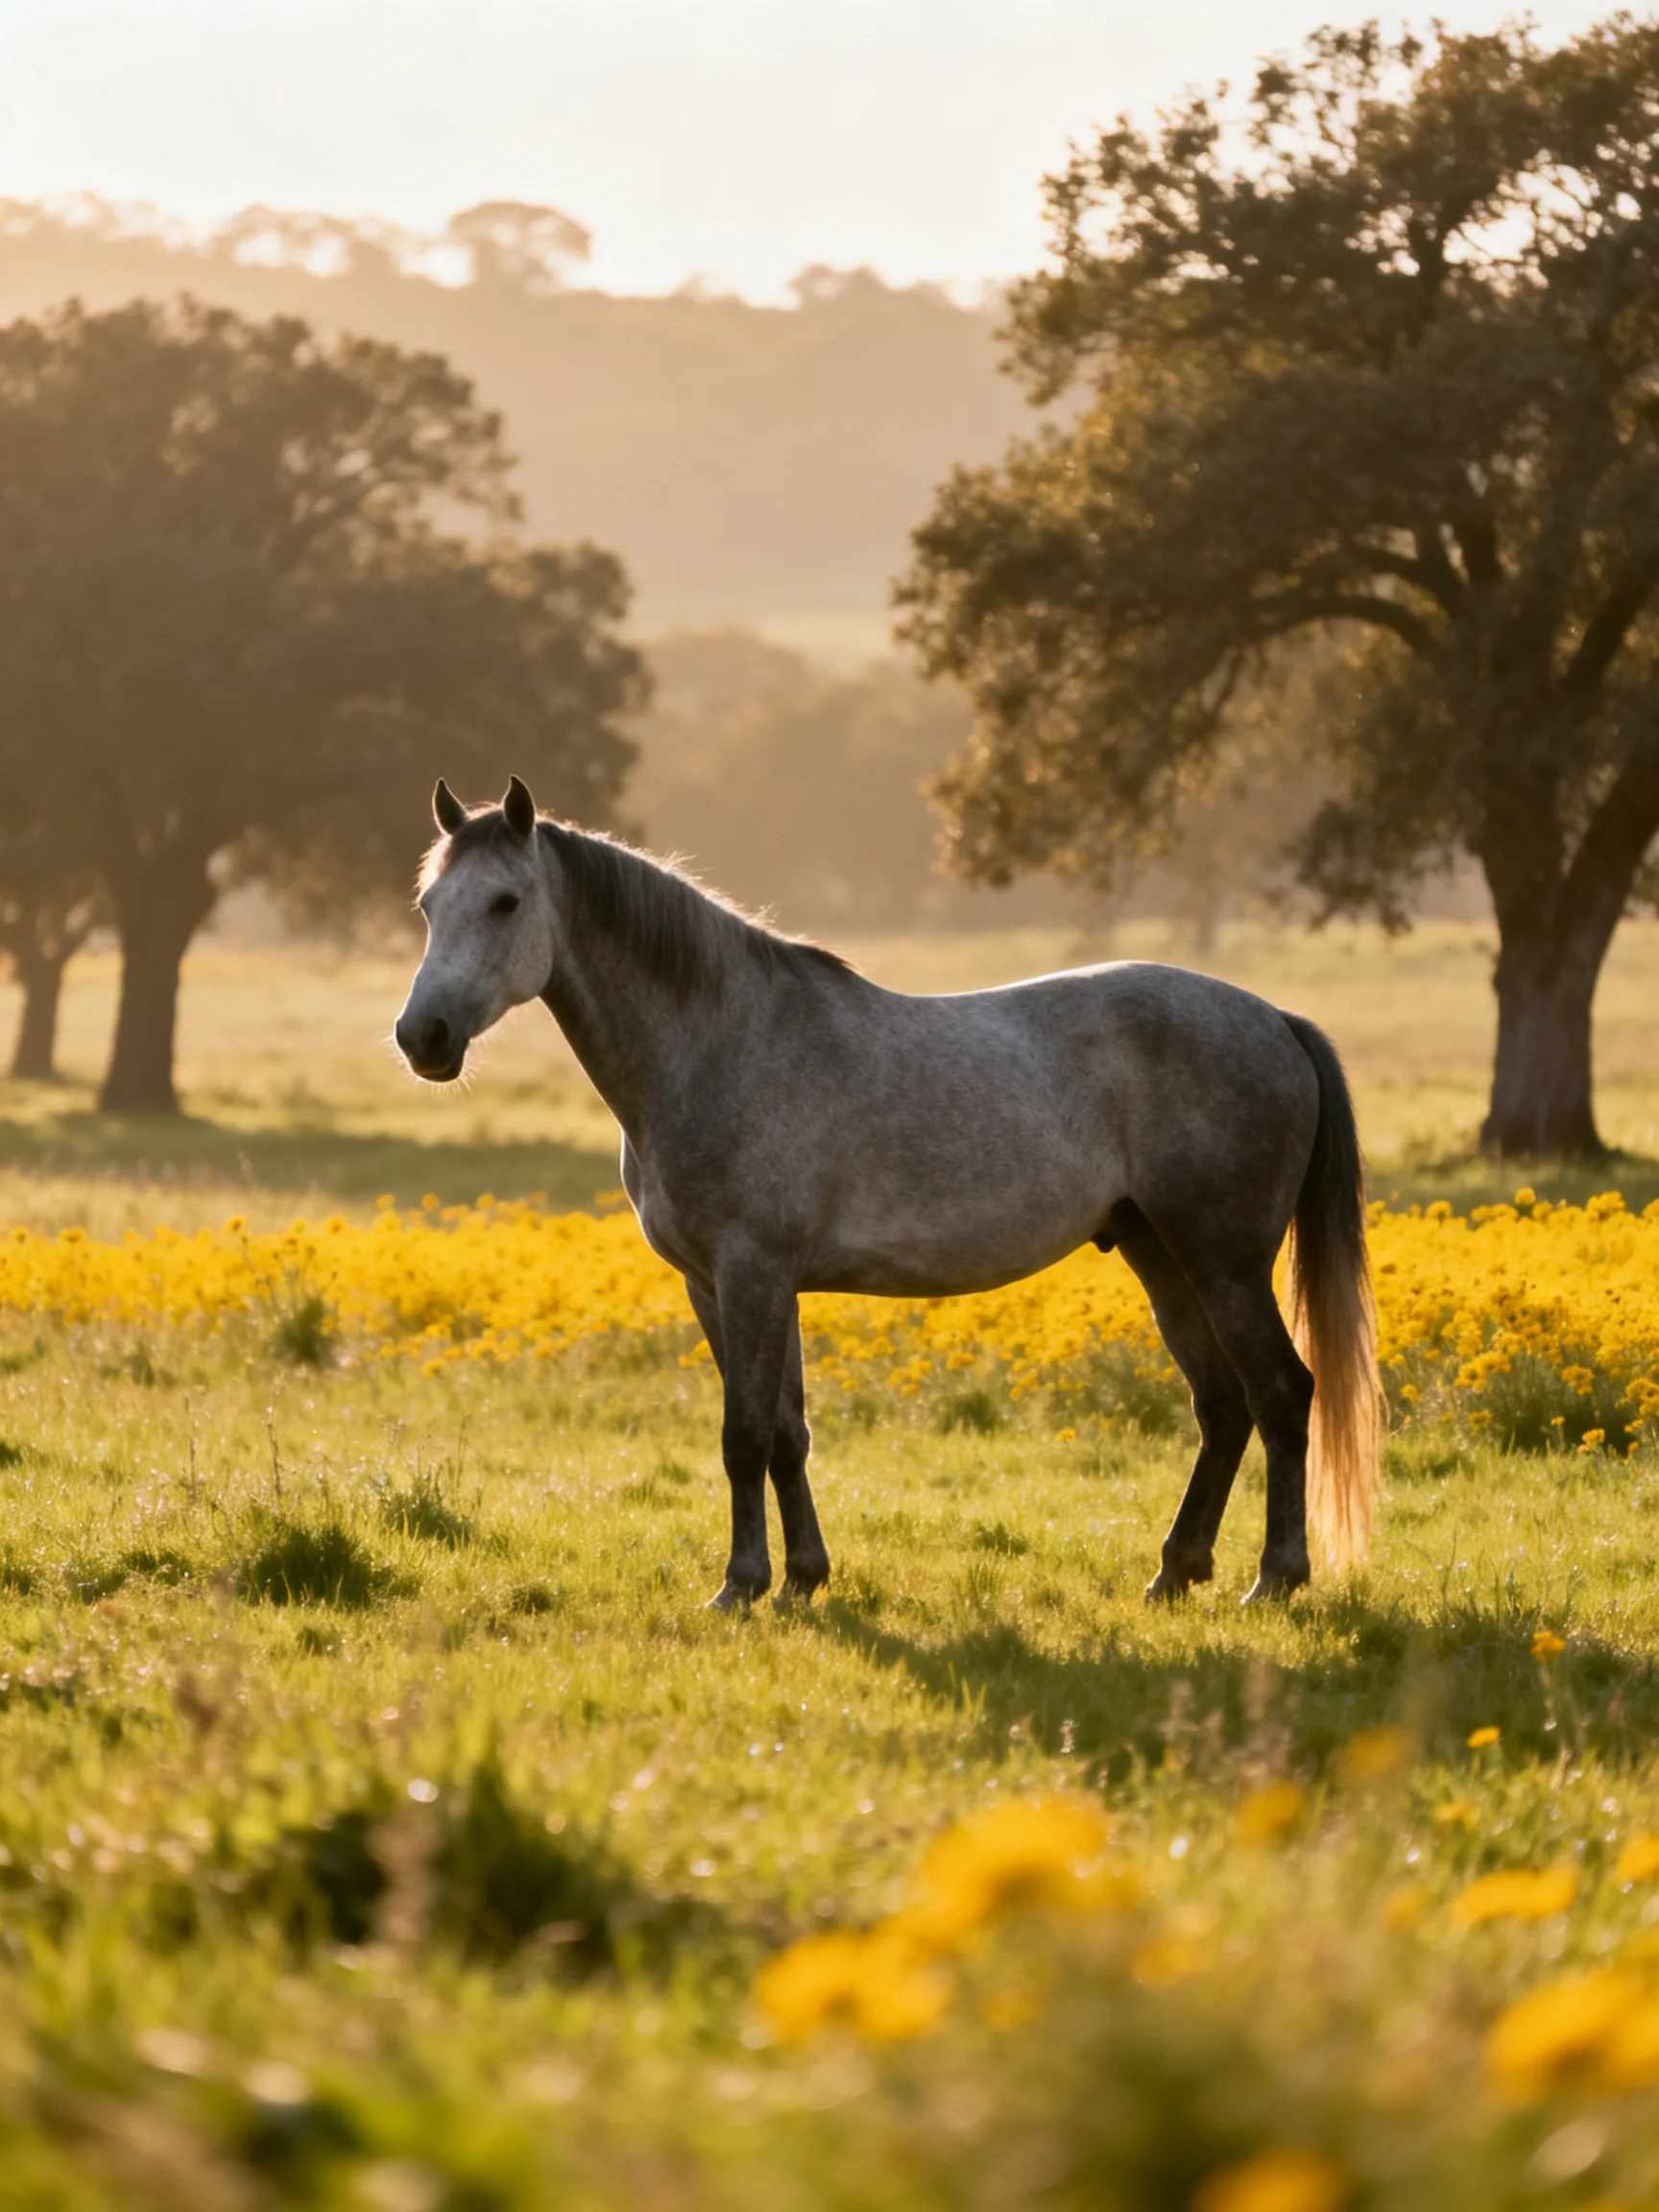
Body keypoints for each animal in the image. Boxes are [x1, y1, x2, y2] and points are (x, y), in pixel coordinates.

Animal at [395, 776, 1379, 1612]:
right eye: (429, 906)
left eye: (505, 902)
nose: (421, 1036)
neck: (718, 1041)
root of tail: (1276, 1021)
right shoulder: (718, 1285)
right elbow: (785, 1432)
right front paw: (802, 1579)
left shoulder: (753, 1275)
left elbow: (743, 1435)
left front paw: (740, 1587)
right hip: (1162, 1258)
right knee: (1222, 1408)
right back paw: (1174, 1573)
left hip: (1226, 1263)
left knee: (1282, 1393)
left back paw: (1275, 1579)